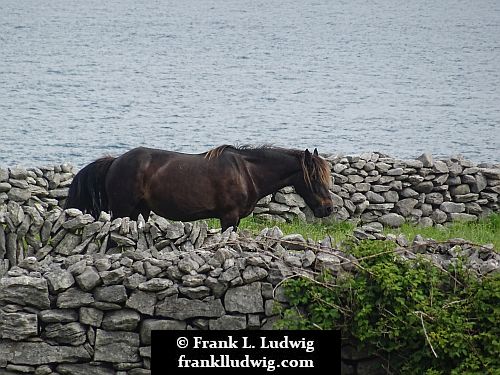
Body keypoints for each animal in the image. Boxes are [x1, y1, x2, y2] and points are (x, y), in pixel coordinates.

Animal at [64, 145, 334, 231]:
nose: (328, 209)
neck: (246, 172)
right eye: (314, 178)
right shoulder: (228, 217)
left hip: (140, 211)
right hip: (122, 210)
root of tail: (115, 161)